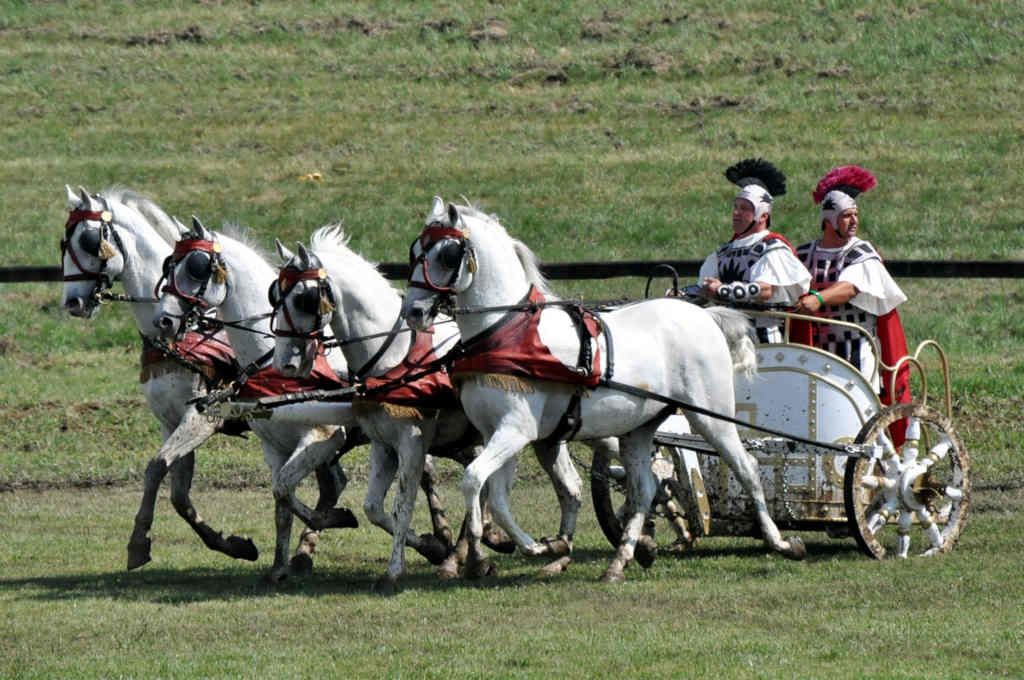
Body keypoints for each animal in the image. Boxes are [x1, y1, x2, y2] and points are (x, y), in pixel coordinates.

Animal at [59, 186, 344, 569]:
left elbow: (156, 467)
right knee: (333, 483)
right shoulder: (169, 421)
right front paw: (232, 544)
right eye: (64, 241)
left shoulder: (199, 419)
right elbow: (177, 492)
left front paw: (138, 541)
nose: (72, 302)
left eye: (89, 241)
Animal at [149, 216, 362, 577]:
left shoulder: (324, 436)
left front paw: (335, 519)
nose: (162, 320)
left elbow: (288, 492)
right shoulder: (275, 446)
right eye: (168, 264)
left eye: (196, 267)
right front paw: (279, 567)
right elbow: (282, 502)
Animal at [266, 225, 593, 593]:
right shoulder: (383, 444)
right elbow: (373, 508)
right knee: (563, 487)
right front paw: (432, 546)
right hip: (537, 436)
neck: (393, 356)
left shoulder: (412, 442)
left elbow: (403, 503)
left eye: (302, 298)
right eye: (274, 295)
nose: (284, 363)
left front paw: (396, 570)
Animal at [401, 199, 806, 581]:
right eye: (415, 251)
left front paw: (503, 552)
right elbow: (496, 497)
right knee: (644, 489)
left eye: (446, 254)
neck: (505, 331)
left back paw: (782, 543)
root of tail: (703, 314)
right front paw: (539, 547)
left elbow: (473, 481)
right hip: (639, 428)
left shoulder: (516, 431)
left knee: (746, 468)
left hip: (710, 417)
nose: (414, 313)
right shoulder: (497, 433)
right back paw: (621, 560)